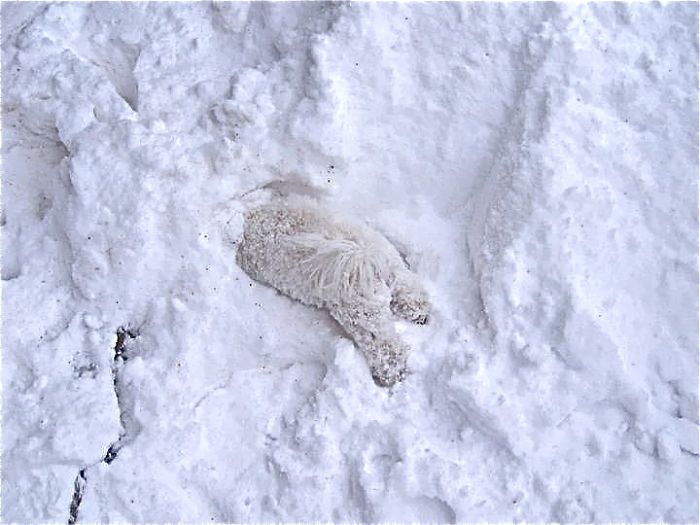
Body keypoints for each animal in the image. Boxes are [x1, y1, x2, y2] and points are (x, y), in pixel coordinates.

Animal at [238, 201, 430, 384]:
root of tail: (363, 252)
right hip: (391, 265)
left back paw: (390, 372)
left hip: (360, 312)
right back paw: (418, 312)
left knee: (383, 344)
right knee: (407, 285)